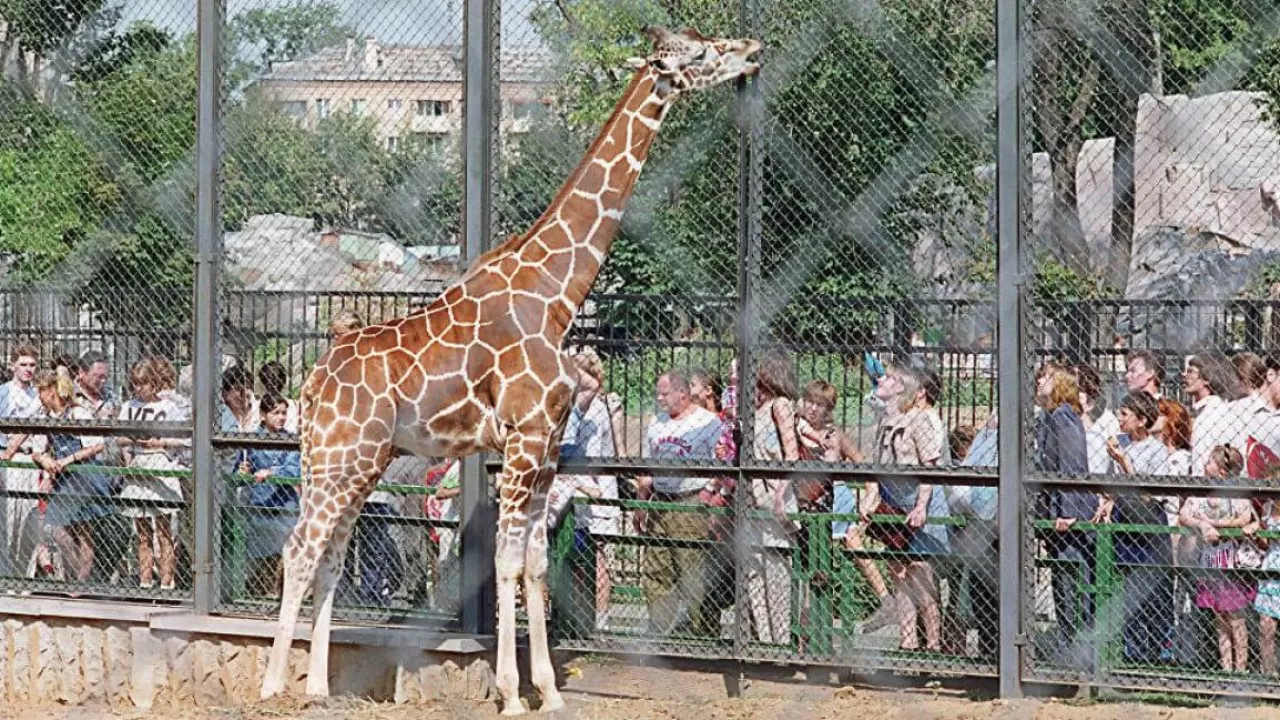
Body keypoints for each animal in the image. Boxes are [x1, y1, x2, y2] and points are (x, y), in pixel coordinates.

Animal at [257, 22, 757, 712]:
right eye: (701, 52)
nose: (753, 52)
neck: (556, 294)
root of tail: (312, 382)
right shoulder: (522, 442)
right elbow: (507, 562)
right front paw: (513, 693)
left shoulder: (548, 447)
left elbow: (537, 563)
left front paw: (549, 691)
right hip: (340, 457)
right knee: (300, 548)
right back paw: (273, 682)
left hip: (358, 460)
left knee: (330, 554)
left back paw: (318, 688)